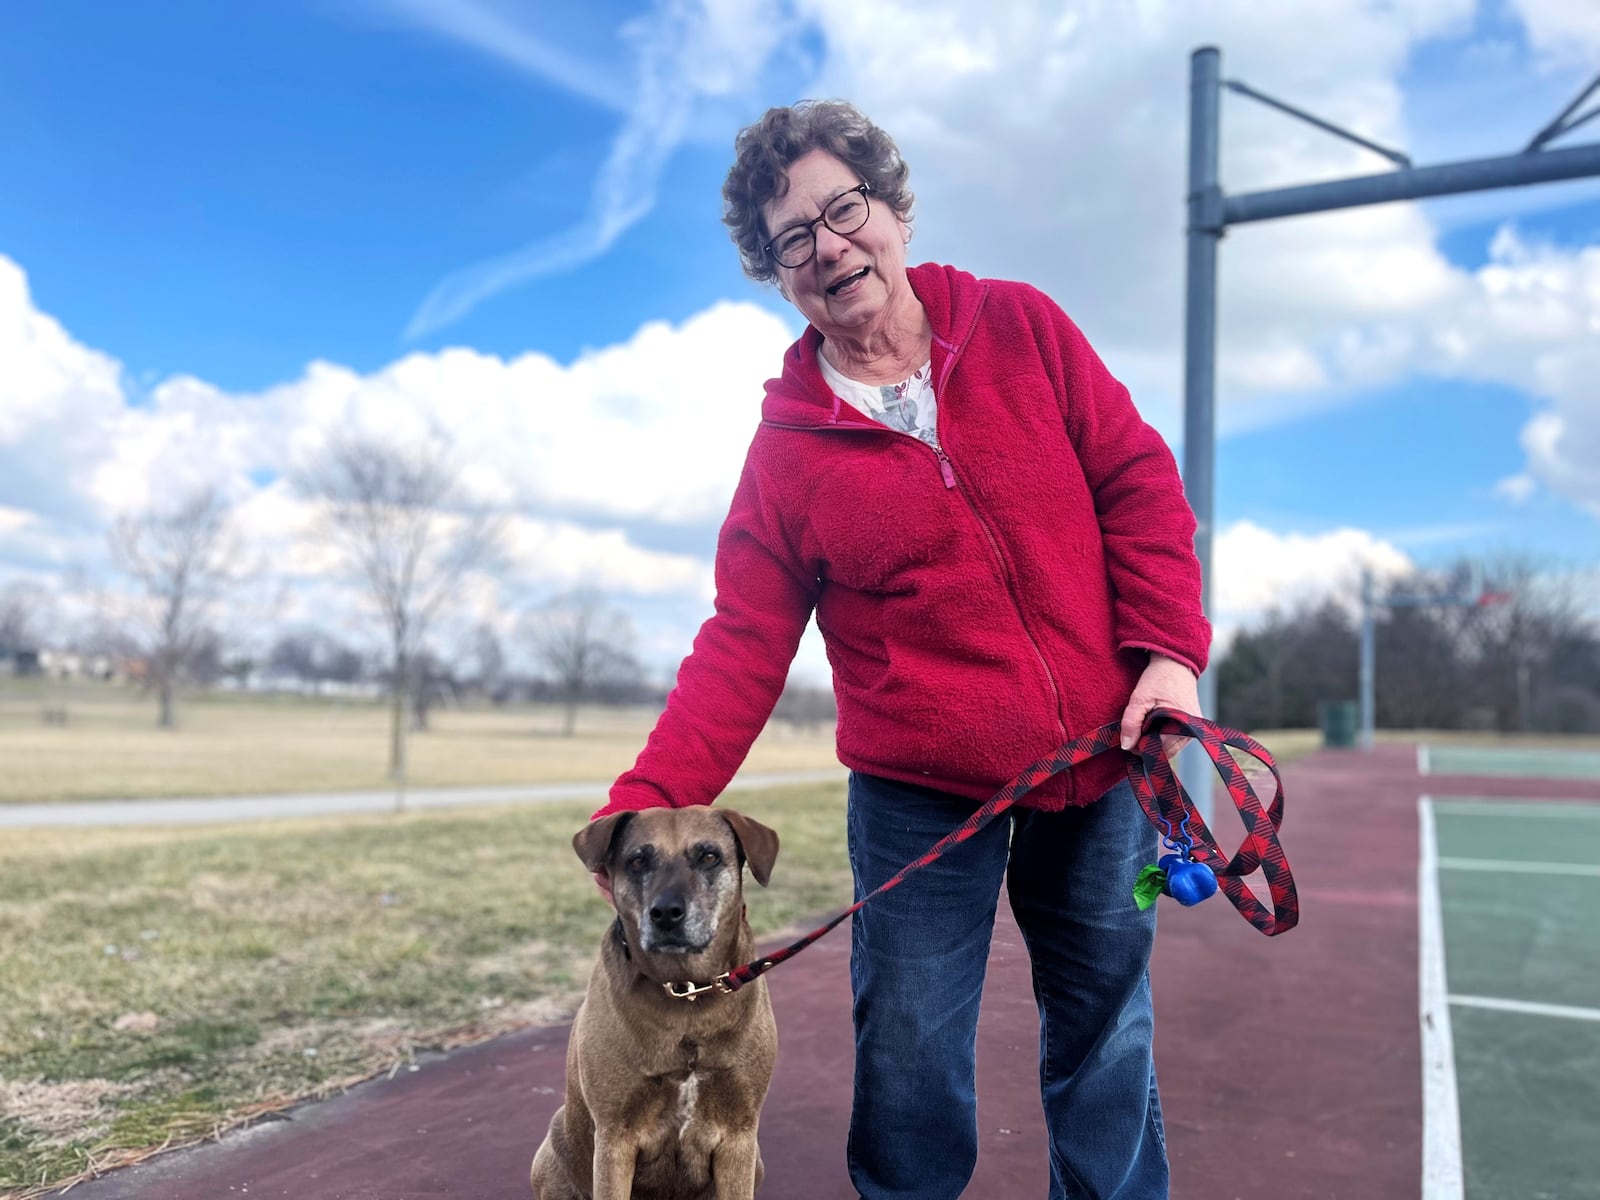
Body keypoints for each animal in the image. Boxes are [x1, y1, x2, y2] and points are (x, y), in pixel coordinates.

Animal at [531, 809, 780, 1200]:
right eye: (637, 860)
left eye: (709, 856)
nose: (665, 912)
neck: (685, 993)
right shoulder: (614, 1139)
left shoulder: (739, 1136)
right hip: (554, 1150)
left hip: (757, 1161)